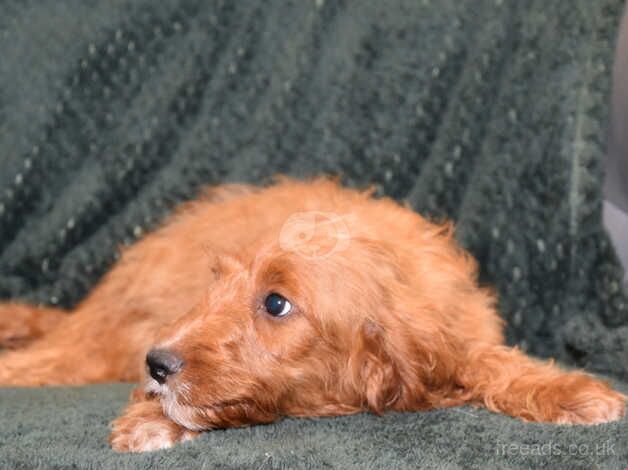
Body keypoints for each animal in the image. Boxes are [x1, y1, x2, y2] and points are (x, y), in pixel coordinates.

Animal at [0, 178, 624, 450]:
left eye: (276, 303)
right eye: (218, 284)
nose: (157, 364)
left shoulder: (453, 334)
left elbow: (491, 361)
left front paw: (566, 391)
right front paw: (152, 418)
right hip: (95, 344)